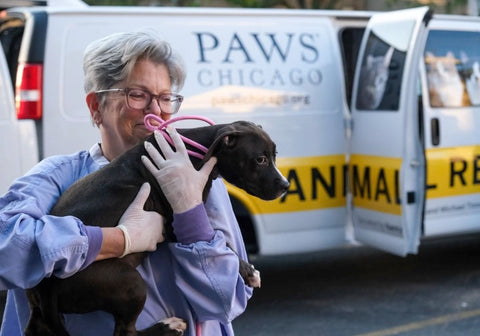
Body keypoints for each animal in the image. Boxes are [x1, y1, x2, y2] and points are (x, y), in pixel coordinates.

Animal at [24, 121, 288, 336]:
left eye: (274, 156)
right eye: (260, 159)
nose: (285, 185)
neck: (194, 151)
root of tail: (47, 285)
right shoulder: (175, 224)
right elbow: (225, 242)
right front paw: (248, 270)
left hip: (40, 311)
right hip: (130, 282)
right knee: (125, 332)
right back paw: (168, 327)